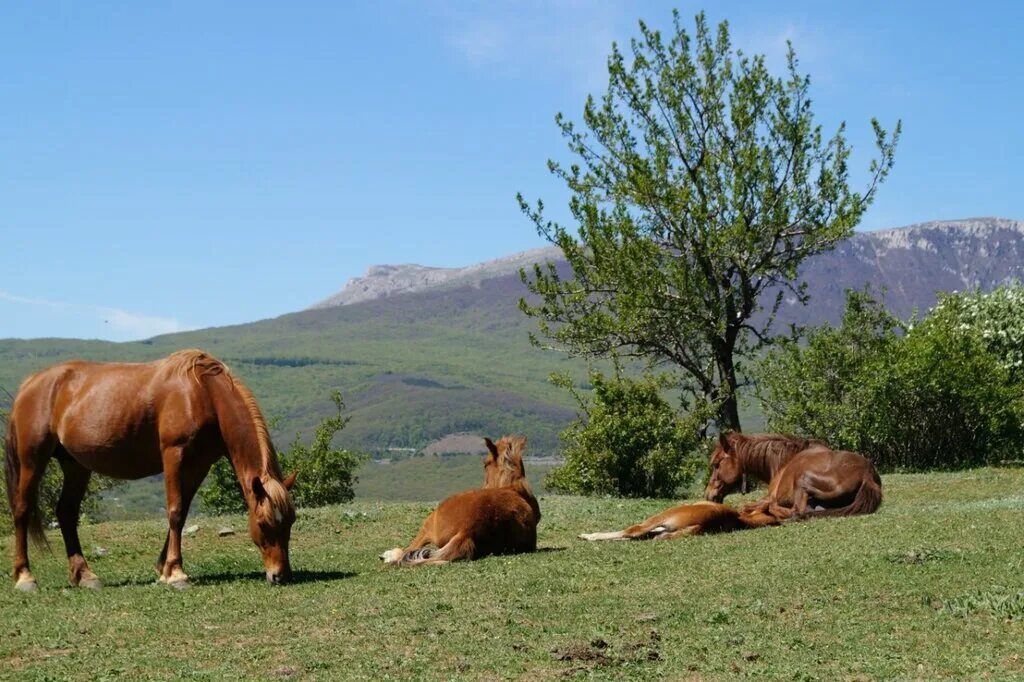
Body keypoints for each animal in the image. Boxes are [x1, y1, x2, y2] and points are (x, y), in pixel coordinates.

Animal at [7, 348, 296, 585]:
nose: (280, 575)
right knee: (22, 509)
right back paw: (25, 577)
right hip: (33, 460)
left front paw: (163, 568)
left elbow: (183, 511)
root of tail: (29, 384)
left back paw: (85, 576)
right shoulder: (173, 455)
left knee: (66, 512)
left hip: (75, 465)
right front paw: (176, 573)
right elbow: (175, 511)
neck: (202, 392)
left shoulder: (199, 464)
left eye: (291, 521)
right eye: (263, 523)